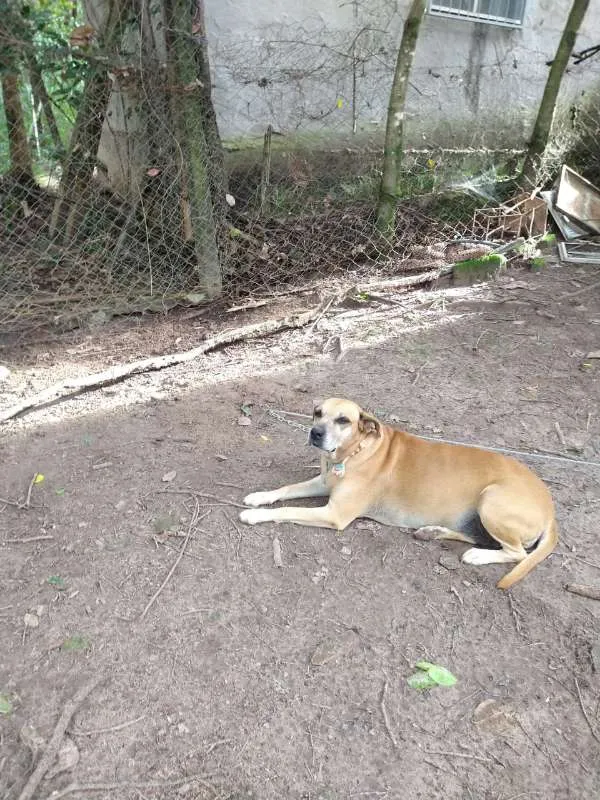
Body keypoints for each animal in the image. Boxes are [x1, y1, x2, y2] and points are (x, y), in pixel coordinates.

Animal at [240, 396, 556, 592]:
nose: (315, 433)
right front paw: (259, 497)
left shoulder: (334, 514)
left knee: (516, 552)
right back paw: (433, 532)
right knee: (482, 537)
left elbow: (287, 510)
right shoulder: (323, 482)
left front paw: (254, 515)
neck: (354, 453)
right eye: (318, 413)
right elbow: (285, 491)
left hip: (491, 499)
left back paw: (477, 556)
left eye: (343, 420)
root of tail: (551, 509)